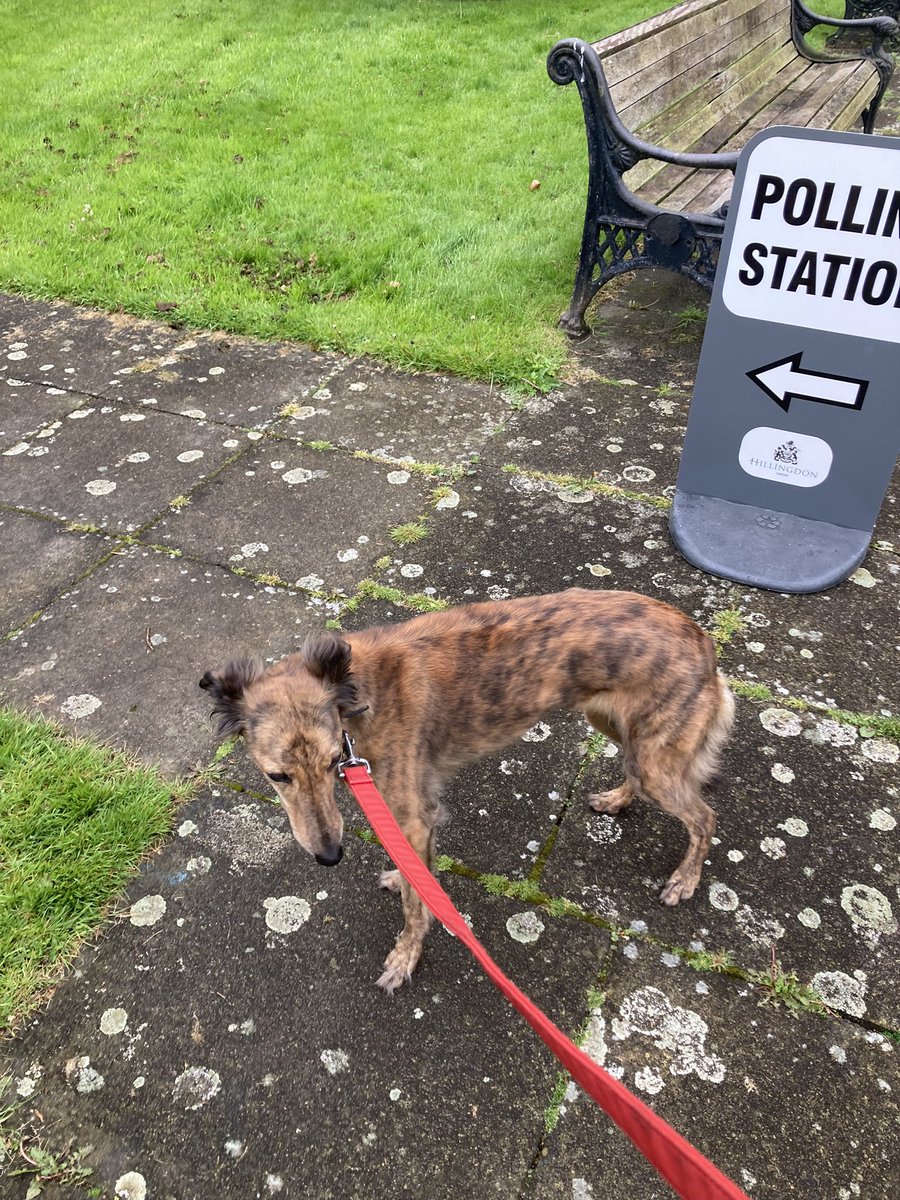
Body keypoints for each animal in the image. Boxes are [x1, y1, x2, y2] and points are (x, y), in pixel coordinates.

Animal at [200, 590, 734, 993]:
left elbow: (416, 908)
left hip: (653, 761)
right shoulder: (419, 813)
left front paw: (404, 958)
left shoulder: (411, 814)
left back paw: (684, 881)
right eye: (277, 777)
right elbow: (417, 874)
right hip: (615, 726)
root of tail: (703, 643)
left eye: (334, 764)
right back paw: (616, 800)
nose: (330, 857)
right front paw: (404, 876)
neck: (356, 692)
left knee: (705, 817)